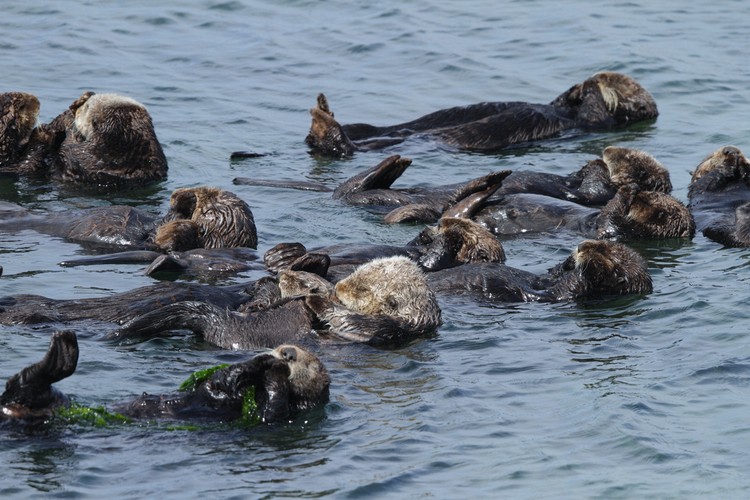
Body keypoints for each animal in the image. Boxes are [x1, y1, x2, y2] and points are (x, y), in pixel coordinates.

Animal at [0, 331, 328, 426]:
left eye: (310, 364)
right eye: (286, 347)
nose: (286, 353)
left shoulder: (278, 415)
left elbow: (268, 409)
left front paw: (273, 370)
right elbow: (220, 378)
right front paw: (263, 361)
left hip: (44, 405)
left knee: (25, 386)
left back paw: (62, 354)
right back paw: (63, 349)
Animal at [427, 239, 653, 302]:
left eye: (603, 252)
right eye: (602, 243)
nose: (581, 246)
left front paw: (590, 266)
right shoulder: (546, 280)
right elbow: (550, 275)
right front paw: (567, 262)